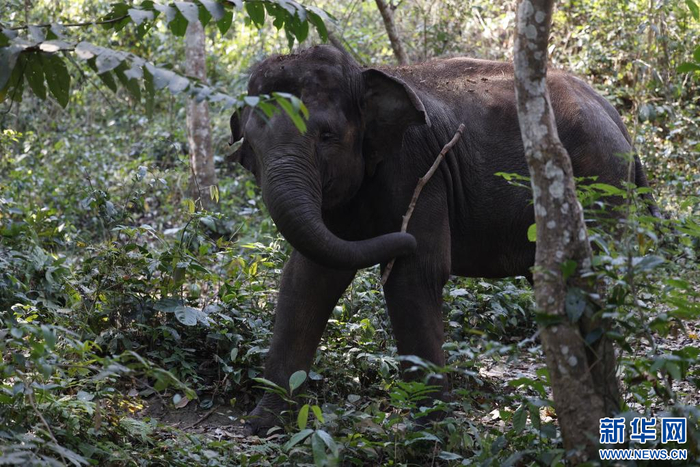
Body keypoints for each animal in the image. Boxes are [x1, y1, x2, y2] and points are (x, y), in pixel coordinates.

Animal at [228, 45, 657, 435]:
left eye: (327, 135)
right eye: (249, 145)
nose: (398, 233)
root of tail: (617, 119)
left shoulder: (421, 169)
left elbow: (415, 274)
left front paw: (430, 435)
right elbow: (309, 276)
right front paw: (264, 424)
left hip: (598, 181)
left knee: (585, 283)